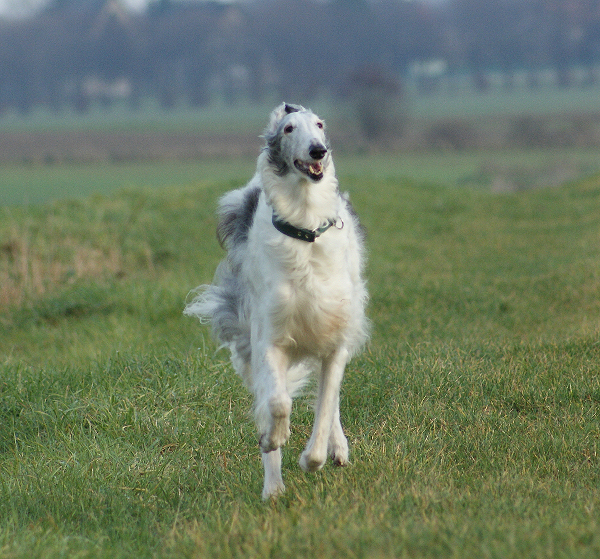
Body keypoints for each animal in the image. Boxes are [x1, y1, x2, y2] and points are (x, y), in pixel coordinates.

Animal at [185, 101, 368, 498]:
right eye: (288, 129)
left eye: (320, 125)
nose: (318, 151)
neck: (306, 229)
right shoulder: (268, 336)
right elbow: (278, 402)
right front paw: (274, 440)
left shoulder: (335, 338)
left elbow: (326, 403)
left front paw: (314, 458)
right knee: (271, 398)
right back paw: (273, 486)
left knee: (330, 400)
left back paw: (336, 448)